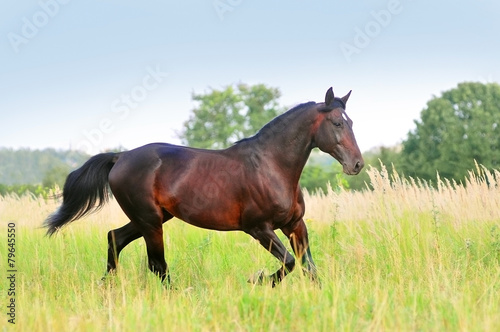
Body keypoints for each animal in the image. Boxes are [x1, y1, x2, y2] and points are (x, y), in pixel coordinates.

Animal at [44, 87, 364, 286]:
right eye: (337, 123)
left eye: (350, 122)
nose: (357, 165)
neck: (271, 167)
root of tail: (120, 156)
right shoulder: (259, 228)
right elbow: (289, 263)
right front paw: (258, 280)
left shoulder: (295, 225)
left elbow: (309, 267)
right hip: (150, 221)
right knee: (157, 264)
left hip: (151, 218)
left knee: (115, 238)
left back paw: (107, 285)